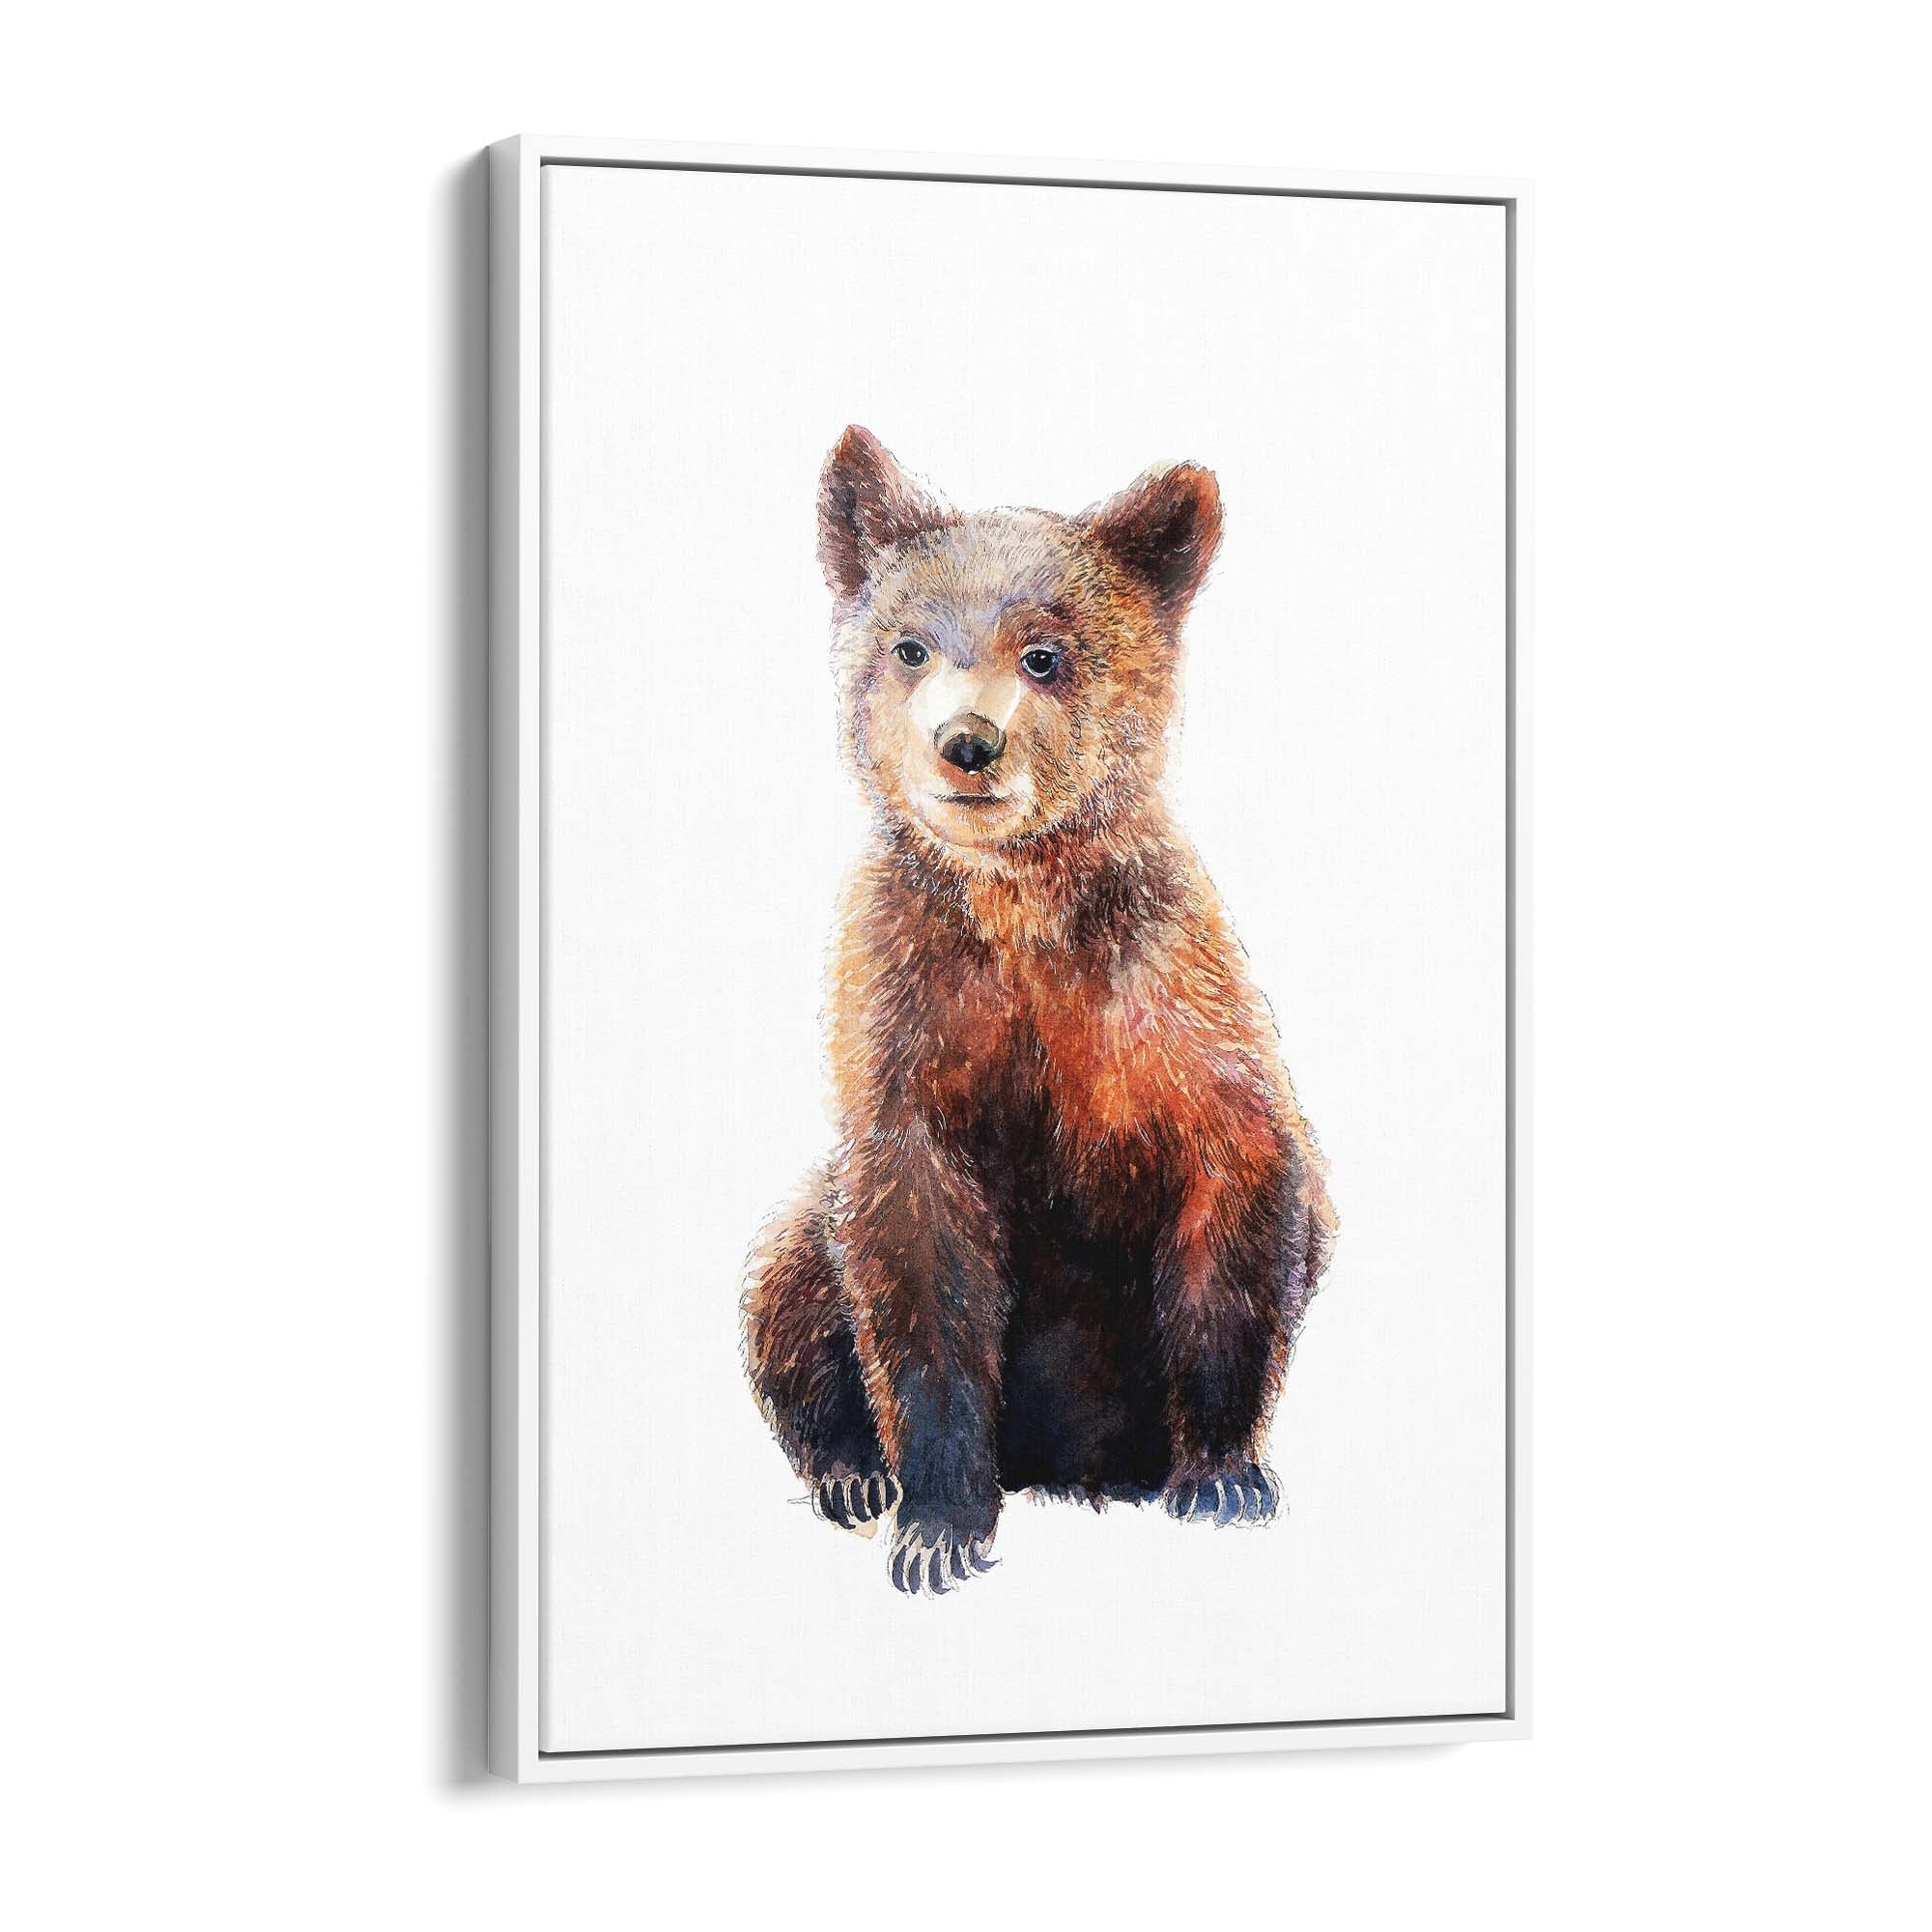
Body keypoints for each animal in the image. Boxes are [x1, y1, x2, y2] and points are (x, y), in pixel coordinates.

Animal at [742, 426, 1336, 1595]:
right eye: (910, 645)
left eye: (1045, 654)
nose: (967, 742)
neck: (1019, 908)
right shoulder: (909, 1016)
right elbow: (916, 1264)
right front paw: (935, 1523)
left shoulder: (1167, 1002)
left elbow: (1240, 1193)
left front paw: (1222, 1477)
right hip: (807, 1222)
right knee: (786, 1275)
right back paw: (849, 1472)